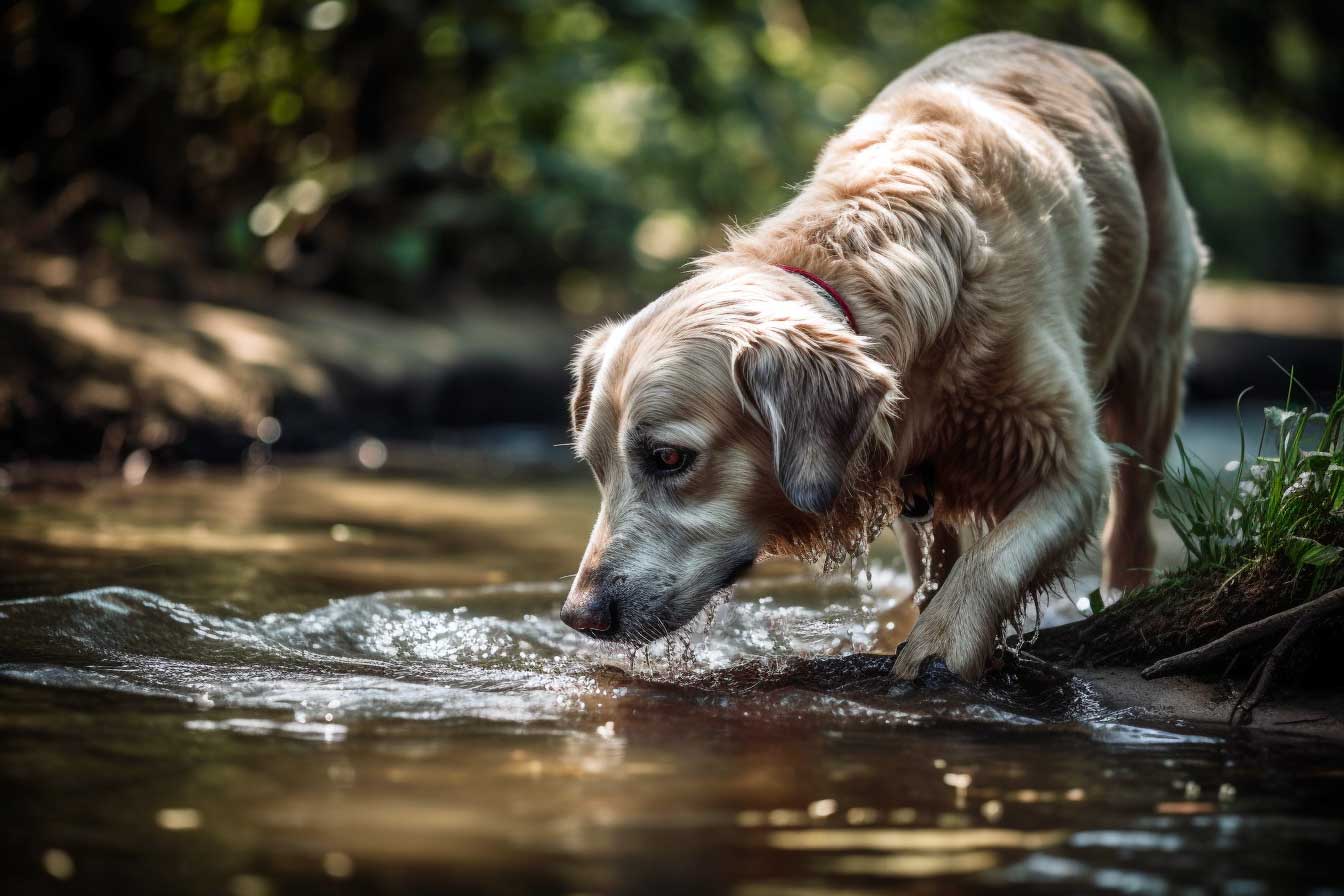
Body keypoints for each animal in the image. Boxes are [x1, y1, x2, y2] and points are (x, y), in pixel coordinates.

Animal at [556, 31, 1209, 682]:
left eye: (669, 459)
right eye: (596, 467)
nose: (579, 617)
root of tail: (1066, 46)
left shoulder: (1072, 463)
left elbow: (990, 562)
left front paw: (939, 649)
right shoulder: (904, 471)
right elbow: (940, 570)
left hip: (1153, 363)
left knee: (1132, 525)